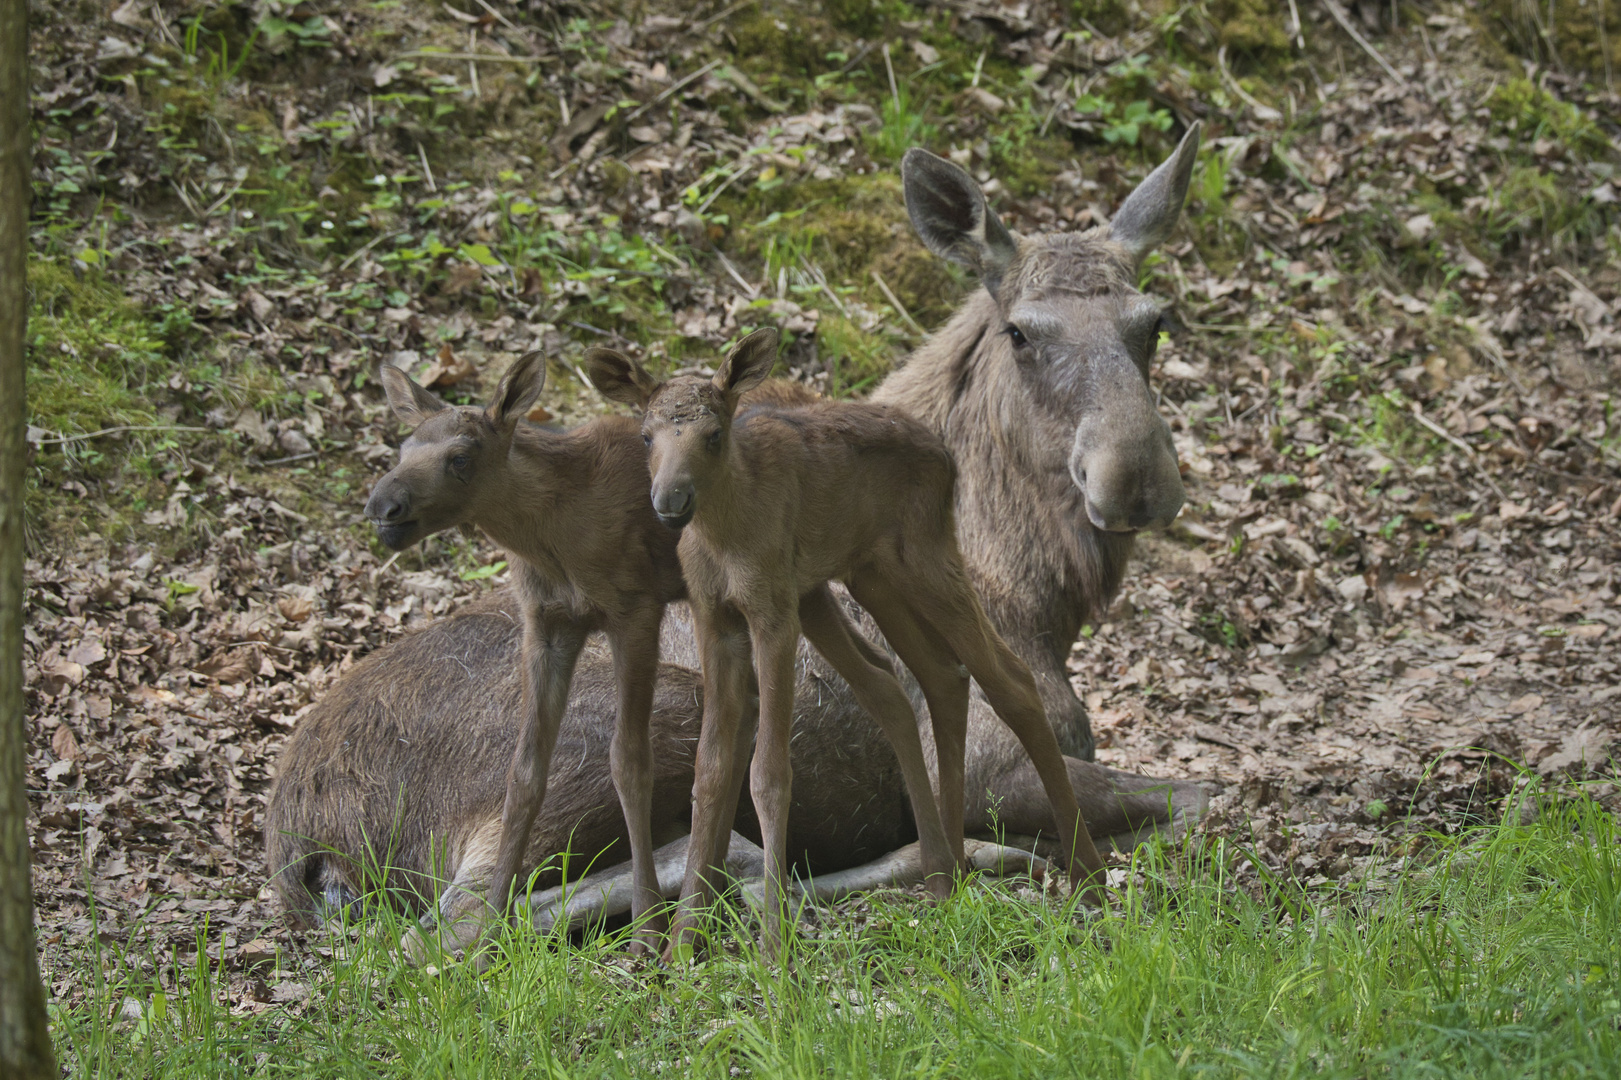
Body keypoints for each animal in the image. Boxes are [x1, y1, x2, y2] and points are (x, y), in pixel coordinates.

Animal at [265, 121, 1206, 940]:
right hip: (629, 722)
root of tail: (307, 846)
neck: (1037, 594)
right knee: (461, 922)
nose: (1135, 480)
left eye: (1154, 322)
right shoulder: (991, 763)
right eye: (1019, 331)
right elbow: (1210, 795)